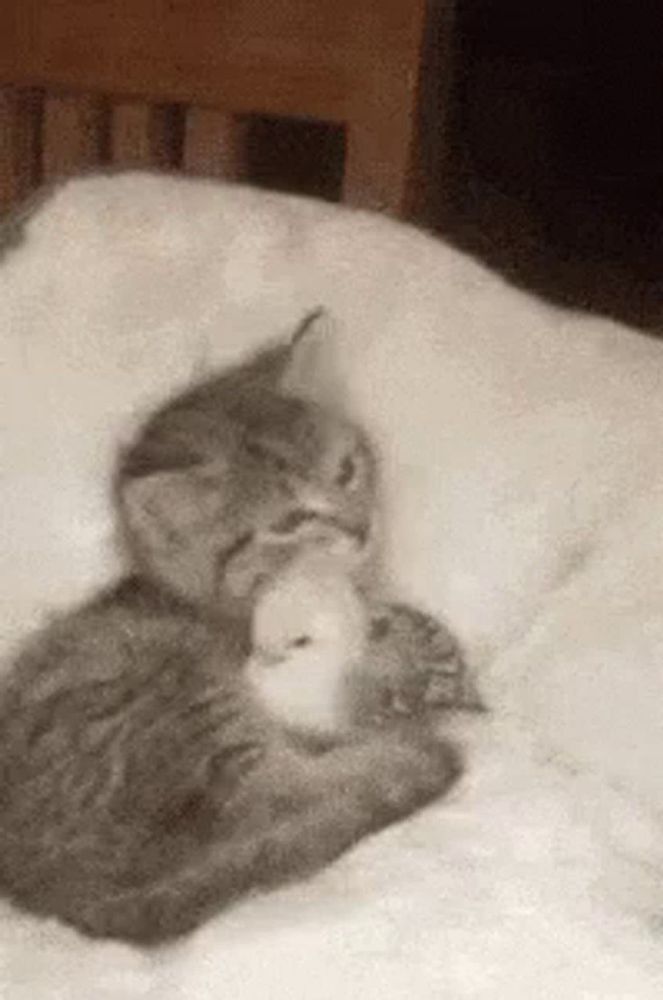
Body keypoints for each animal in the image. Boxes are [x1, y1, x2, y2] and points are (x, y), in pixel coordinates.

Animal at [0, 318, 462, 944]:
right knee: (277, 798)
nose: (363, 527)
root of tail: (70, 900)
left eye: (347, 470)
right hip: (179, 692)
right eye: (290, 522)